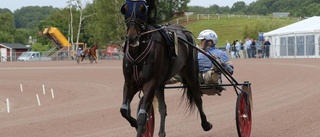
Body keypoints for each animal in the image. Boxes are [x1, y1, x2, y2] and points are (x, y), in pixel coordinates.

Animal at [120, 0, 212, 136]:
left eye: (142, 9)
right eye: (125, 8)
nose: (132, 37)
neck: (137, 54)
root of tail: (184, 30)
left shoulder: (150, 83)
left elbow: (142, 116)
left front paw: (141, 126)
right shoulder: (130, 83)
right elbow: (124, 111)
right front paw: (137, 124)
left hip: (190, 70)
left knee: (197, 97)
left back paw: (206, 124)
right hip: (159, 84)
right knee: (163, 108)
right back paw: (161, 133)